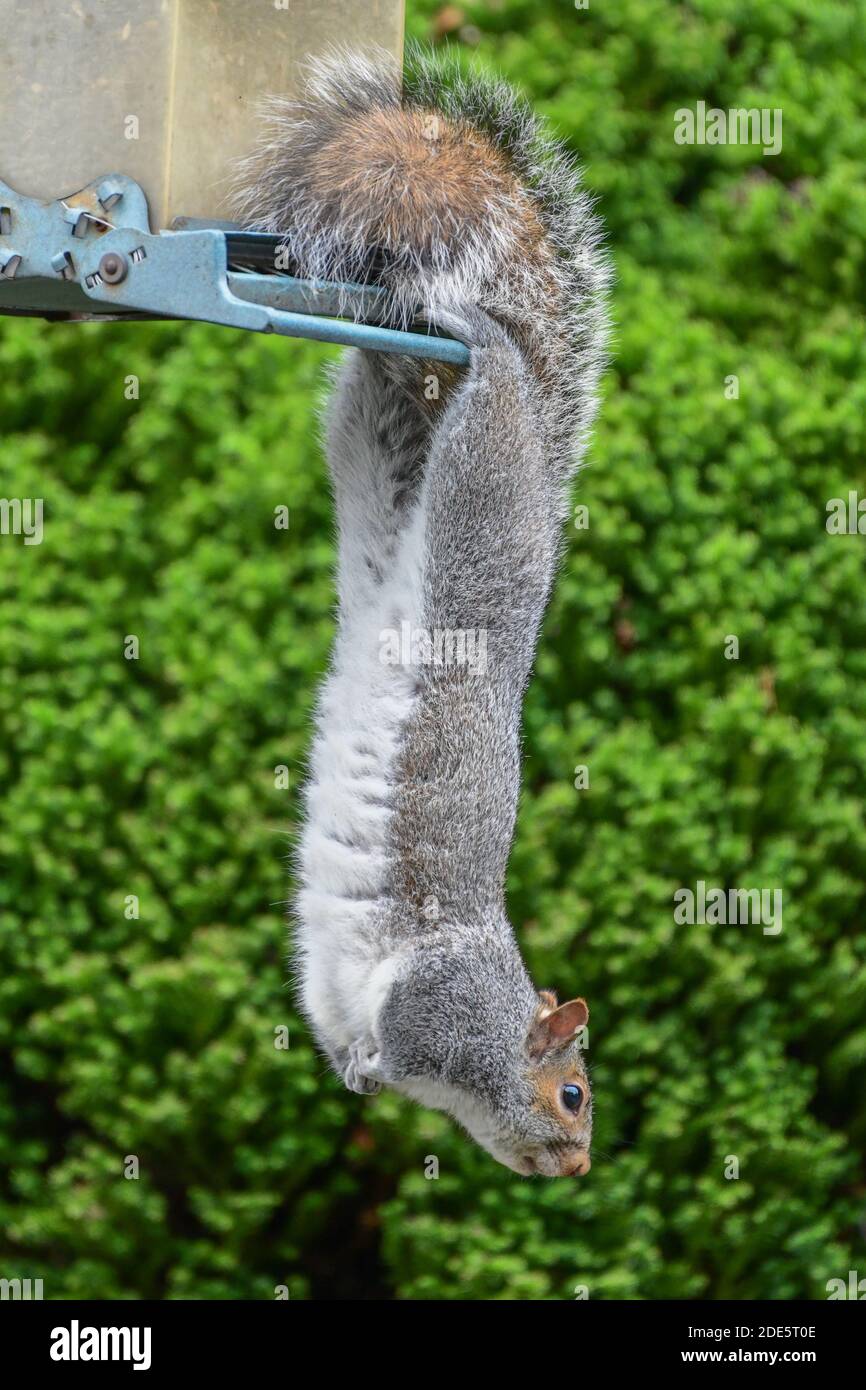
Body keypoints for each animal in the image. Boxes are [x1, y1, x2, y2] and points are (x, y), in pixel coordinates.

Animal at [233, 44, 609, 1177]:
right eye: (573, 1093)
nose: (579, 1167)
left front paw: (351, 1072)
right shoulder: (433, 1005)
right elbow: (393, 1043)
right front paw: (370, 1070)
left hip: (385, 463)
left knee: (378, 393)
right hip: (481, 501)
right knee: (488, 380)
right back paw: (477, 335)